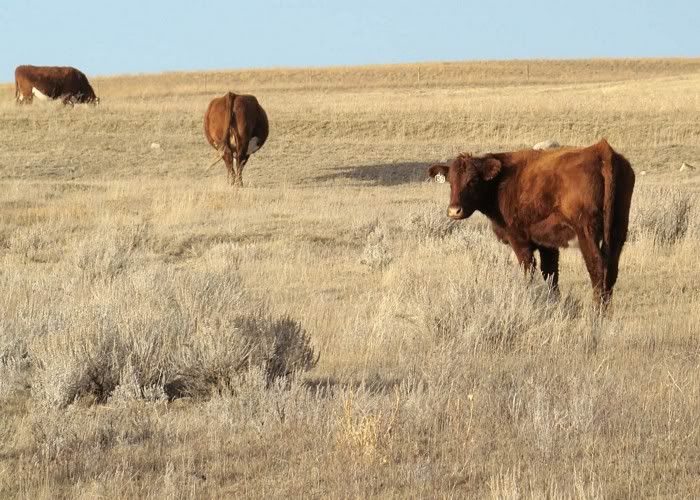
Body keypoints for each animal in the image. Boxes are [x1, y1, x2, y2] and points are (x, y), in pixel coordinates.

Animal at [428, 139, 635, 310]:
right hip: (618, 230)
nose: (454, 210)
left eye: (473, 181)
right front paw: (554, 303)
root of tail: (601, 151)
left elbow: (529, 271)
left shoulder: (519, 240)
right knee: (612, 269)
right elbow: (550, 274)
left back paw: (596, 312)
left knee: (597, 266)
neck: (501, 182)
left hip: (586, 231)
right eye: (451, 182)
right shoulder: (548, 243)